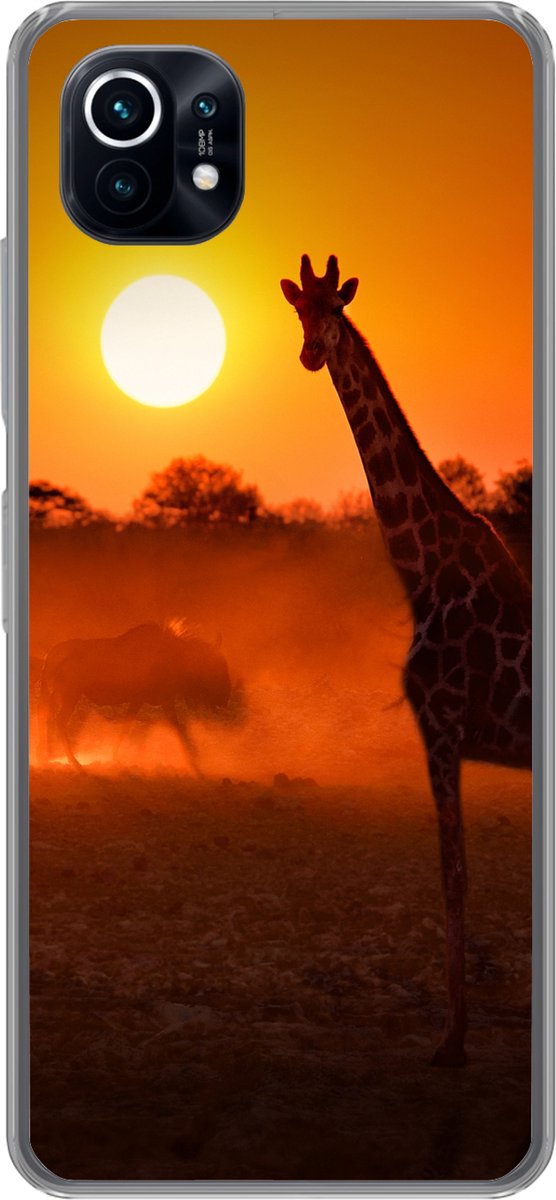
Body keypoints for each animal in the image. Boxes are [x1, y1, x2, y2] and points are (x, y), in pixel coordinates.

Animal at [281, 254, 532, 1067]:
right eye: (299, 312)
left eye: (336, 309)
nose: (312, 353)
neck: (422, 574)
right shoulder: (441, 732)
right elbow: (453, 875)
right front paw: (455, 1033)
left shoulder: (442, 725)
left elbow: (455, 876)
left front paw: (452, 1040)